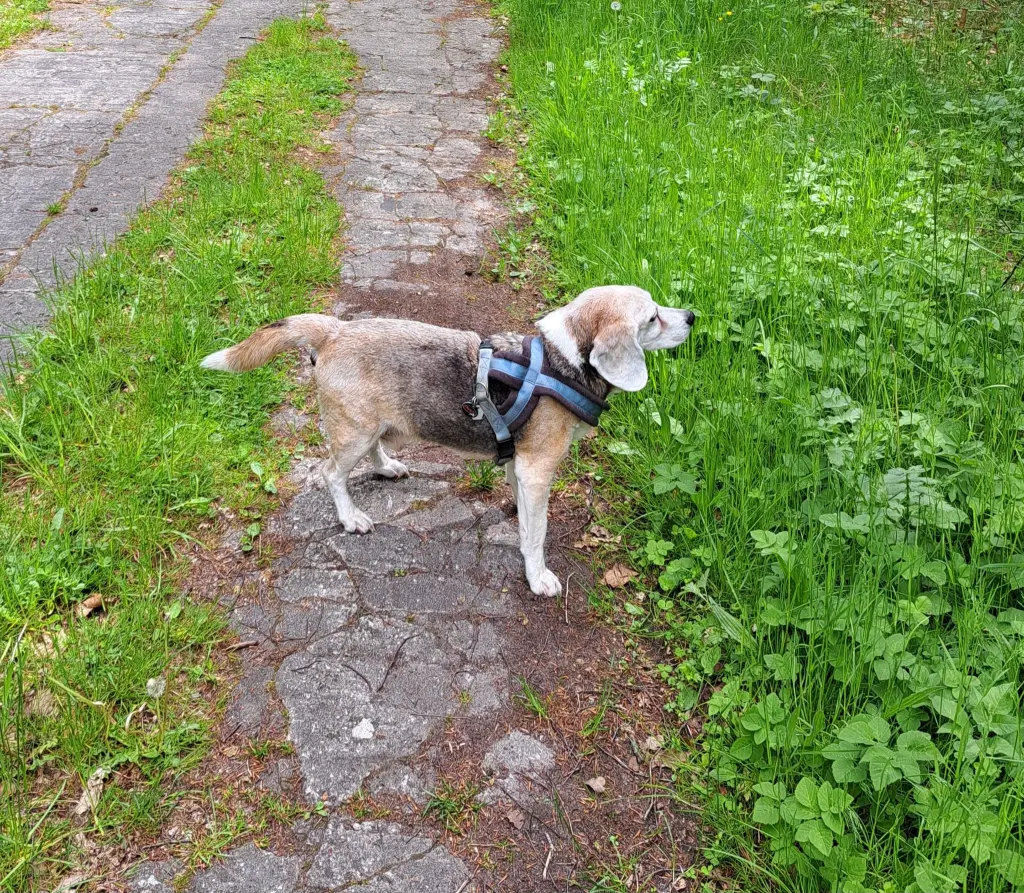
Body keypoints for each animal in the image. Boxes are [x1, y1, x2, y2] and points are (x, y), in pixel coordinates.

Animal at [201, 285, 695, 597]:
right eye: (652, 317)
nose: (692, 316)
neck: (563, 360)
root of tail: (335, 330)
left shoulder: (520, 465)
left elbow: (522, 512)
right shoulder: (538, 469)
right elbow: (536, 535)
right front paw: (538, 577)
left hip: (380, 427)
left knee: (373, 452)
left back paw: (386, 467)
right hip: (353, 433)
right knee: (331, 474)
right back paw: (350, 517)